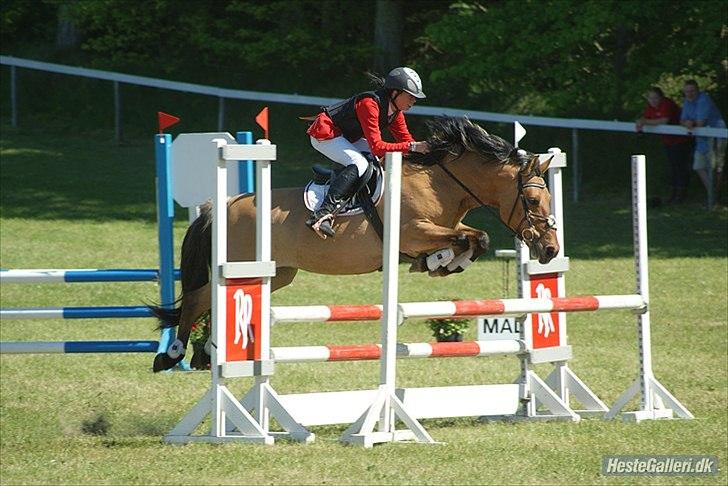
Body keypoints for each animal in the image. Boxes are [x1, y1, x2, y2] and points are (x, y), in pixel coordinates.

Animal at [152, 116, 556, 370]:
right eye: (532, 200)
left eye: (549, 200)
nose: (550, 250)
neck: (440, 181)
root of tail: (223, 205)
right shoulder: (413, 231)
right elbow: (471, 238)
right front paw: (440, 261)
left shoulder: (441, 228)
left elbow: (473, 239)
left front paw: (440, 262)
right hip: (241, 266)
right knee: (198, 299)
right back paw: (173, 354)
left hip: (278, 274)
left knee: (213, 302)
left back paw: (206, 354)